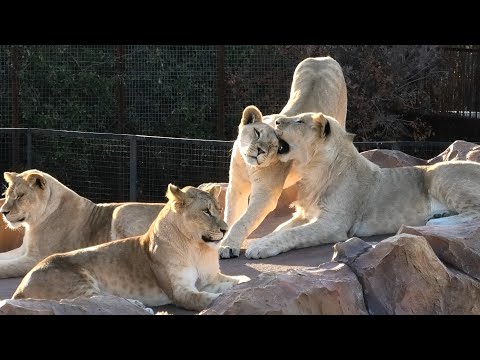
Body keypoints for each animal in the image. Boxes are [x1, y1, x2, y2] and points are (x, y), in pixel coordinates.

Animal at [0, 169, 165, 278]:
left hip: (121, 210)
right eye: (7, 195)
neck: (33, 222)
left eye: (20, 196)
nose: (3, 212)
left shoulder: (37, 257)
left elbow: (8, 267)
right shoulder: (23, 250)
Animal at [12, 184, 249, 310]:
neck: (198, 249)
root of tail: (21, 286)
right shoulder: (180, 291)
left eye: (219, 209)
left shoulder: (211, 279)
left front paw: (242, 285)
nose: (225, 229)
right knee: (96, 302)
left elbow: (239, 281)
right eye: (206, 211)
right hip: (80, 282)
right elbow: (208, 299)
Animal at [219, 55, 346, 258]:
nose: (260, 151)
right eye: (257, 133)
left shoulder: (266, 194)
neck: (247, 165)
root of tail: (321, 57)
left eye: (275, 147)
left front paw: (227, 246)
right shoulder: (237, 187)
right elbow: (231, 215)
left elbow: (243, 221)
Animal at [246, 109, 480, 258]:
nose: (276, 121)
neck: (313, 171)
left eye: (300, 121)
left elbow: (292, 233)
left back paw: (433, 221)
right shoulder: (306, 214)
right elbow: (279, 229)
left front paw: (259, 248)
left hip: (438, 175)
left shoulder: (334, 224)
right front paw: (258, 241)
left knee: (474, 215)